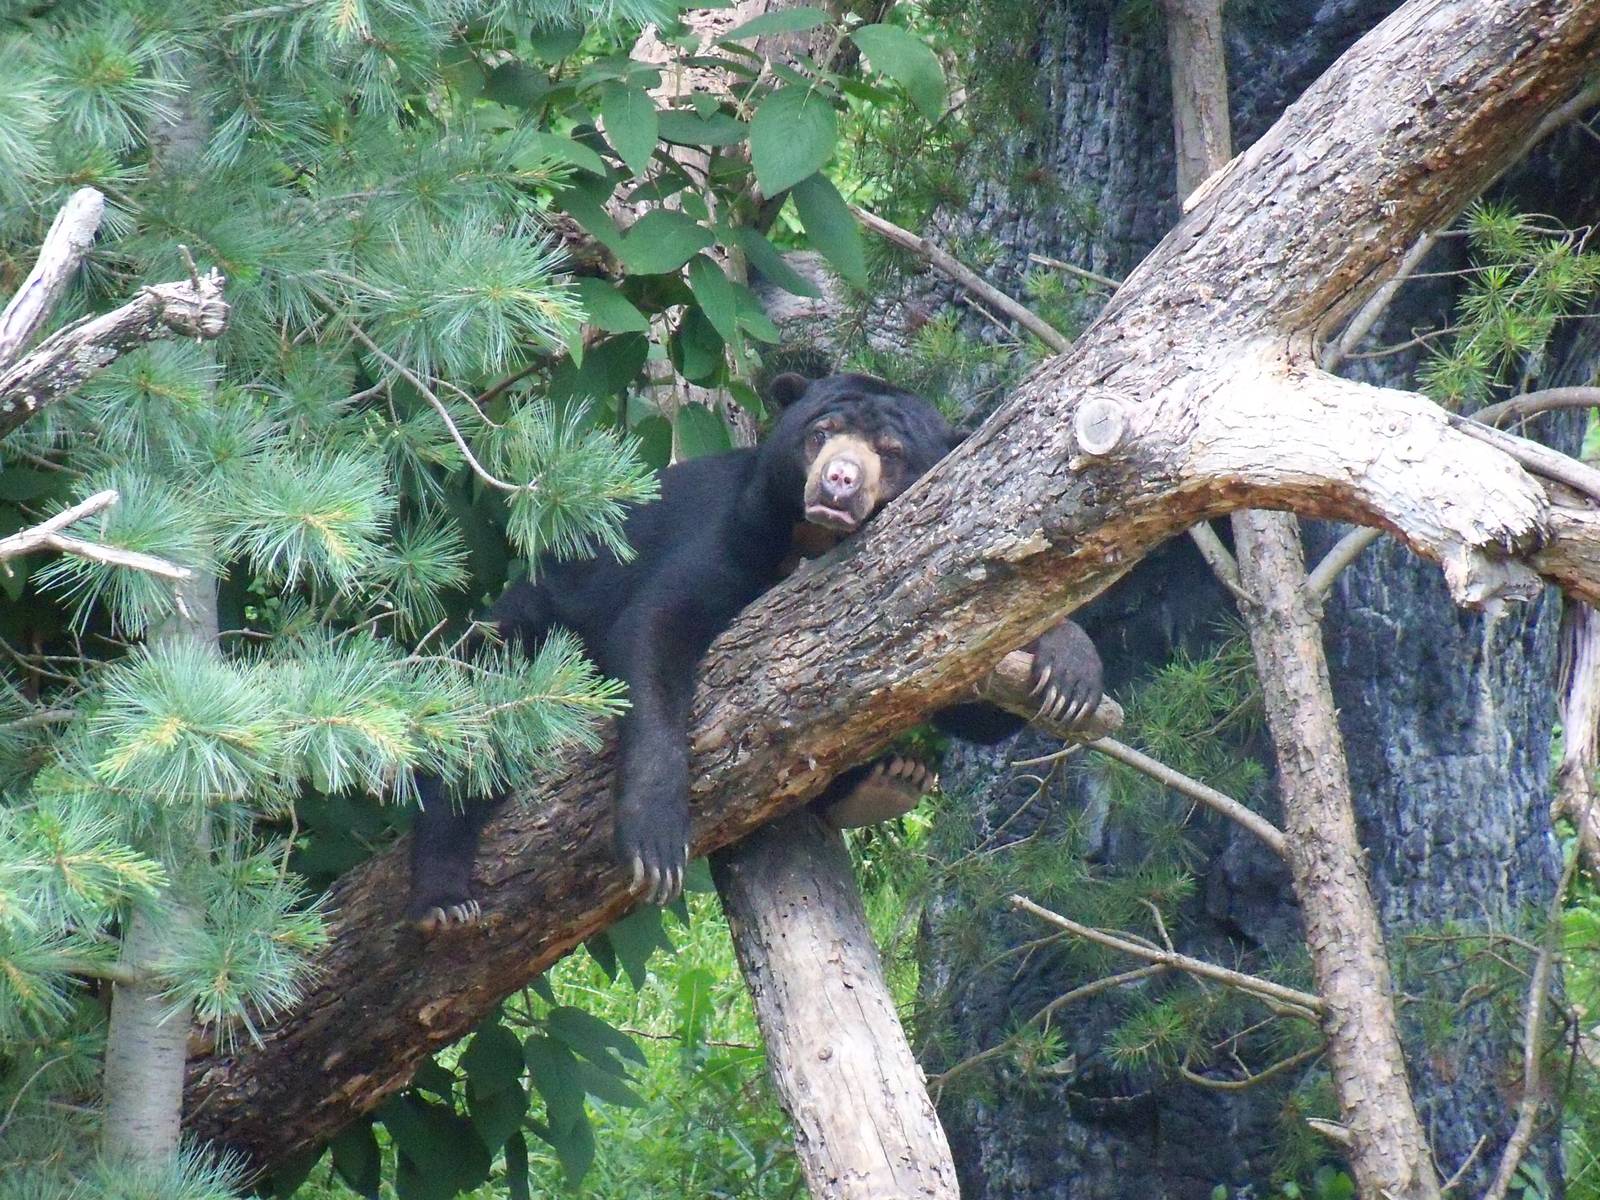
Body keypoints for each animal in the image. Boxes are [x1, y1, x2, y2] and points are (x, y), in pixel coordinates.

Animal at [406, 372, 1104, 927]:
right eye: (821, 433)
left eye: (892, 452)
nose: (839, 482)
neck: (809, 541)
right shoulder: (732, 537)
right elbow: (654, 632)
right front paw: (657, 845)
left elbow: (971, 688)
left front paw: (1070, 672)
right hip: (529, 632)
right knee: (474, 740)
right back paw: (443, 899)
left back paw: (886, 782)